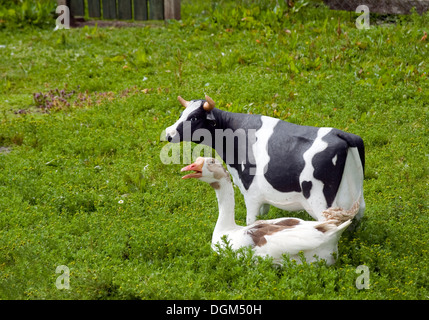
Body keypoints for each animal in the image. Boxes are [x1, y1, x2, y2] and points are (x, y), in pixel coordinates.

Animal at [165, 96, 364, 224]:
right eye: (181, 114)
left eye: (194, 117)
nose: (168, 133)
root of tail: (341, 134)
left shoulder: (251, 192)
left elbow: (251, 220)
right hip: (357, 197)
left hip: (321, 202)